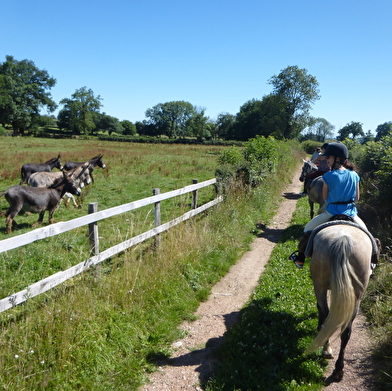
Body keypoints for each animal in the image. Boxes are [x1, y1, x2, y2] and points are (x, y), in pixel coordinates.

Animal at [304, 224, 372, 382]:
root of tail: (343, 241)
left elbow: (320, 309)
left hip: (320, 286)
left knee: (326, 315)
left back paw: (326, 350)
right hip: (356, 295)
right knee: (346, 331)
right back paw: (338, 370)